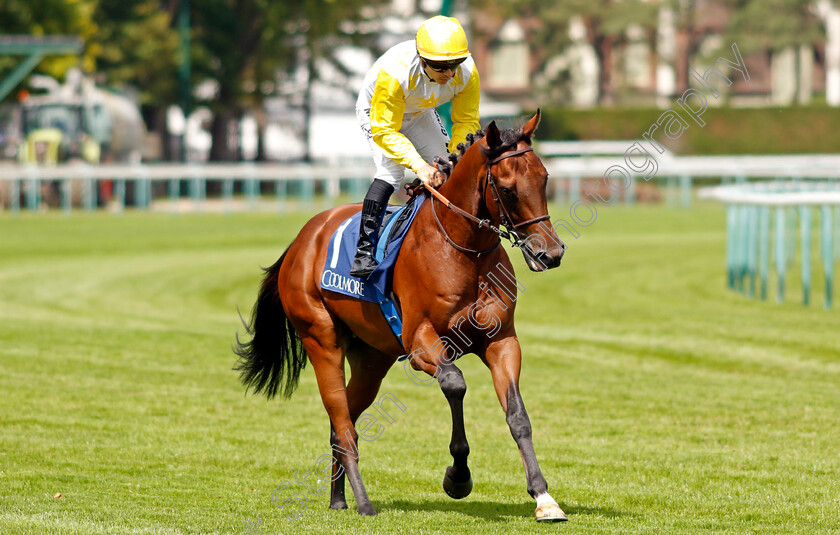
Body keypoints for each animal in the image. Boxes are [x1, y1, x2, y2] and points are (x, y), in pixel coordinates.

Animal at [233, 110, 568, 524]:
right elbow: (455, 385)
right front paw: (457, 478)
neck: (463, 249)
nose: (551, 253)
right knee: (343, 424)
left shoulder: (501, 340)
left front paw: (543, 497)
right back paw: (363, 503)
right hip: (321, 340)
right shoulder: (421, 343)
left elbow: (517, 414)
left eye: (544, 178)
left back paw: (338, 499)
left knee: (342, 425)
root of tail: (301, 240)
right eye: (507, 190)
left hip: (371, 359)